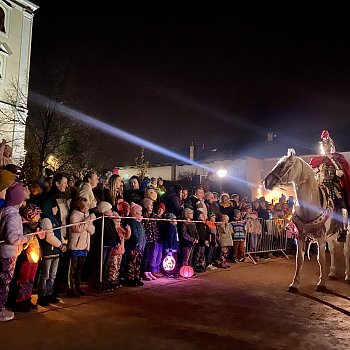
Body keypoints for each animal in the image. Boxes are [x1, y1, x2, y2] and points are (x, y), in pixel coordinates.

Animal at [264, 149, 348, 292]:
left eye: (284, 165)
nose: (266, 182)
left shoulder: (320, 236)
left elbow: (321, 259)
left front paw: (321, 284)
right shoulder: (300, 235)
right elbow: (300, 259)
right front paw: (295, 284)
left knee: (346, 253)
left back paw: (347, 275)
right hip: (331, 236)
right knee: (333, 251)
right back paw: (332, 273)